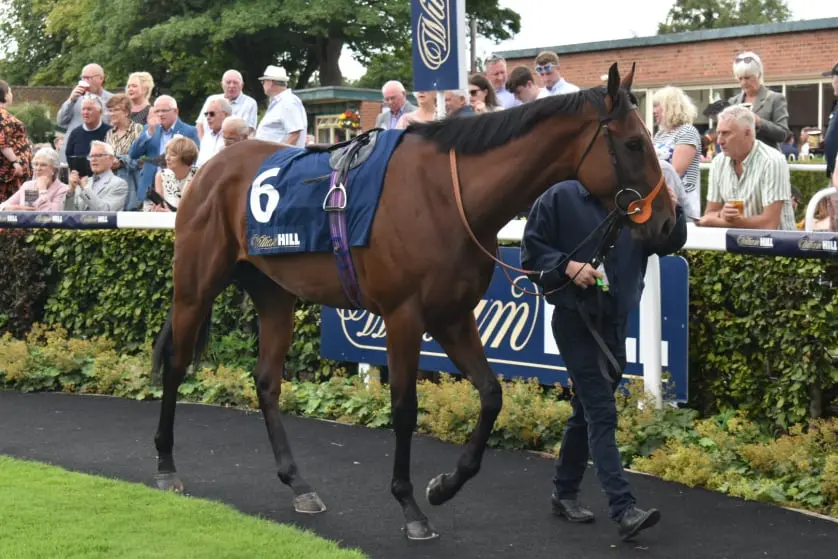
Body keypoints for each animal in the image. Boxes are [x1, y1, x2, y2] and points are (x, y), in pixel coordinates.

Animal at [149, 63, 676, 540]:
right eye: (634, 144)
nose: (668, 223)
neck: (449, 196)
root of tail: (208, 170)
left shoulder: (453, 317)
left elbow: (492, 394)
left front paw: (444, 485)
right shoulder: (404, 316)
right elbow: (404, 407)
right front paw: (409, 507)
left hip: (274, 293)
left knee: (266, 381)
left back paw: (298, 484)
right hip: (195, 286)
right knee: (176, 363)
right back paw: (166, 464)